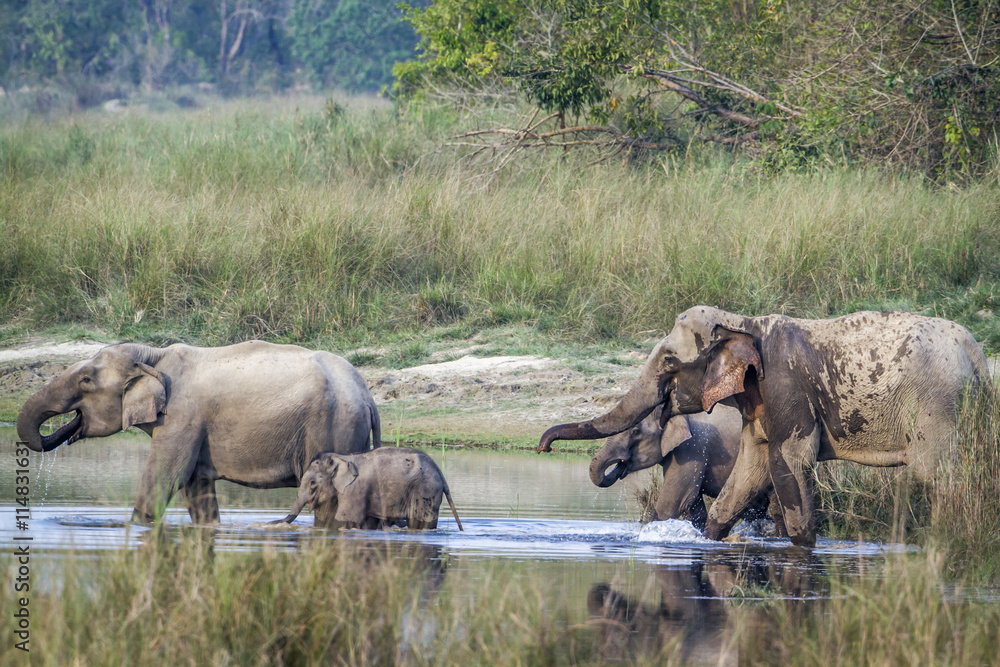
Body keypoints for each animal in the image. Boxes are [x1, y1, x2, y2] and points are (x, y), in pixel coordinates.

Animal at [17, 341, 381, 524]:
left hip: (333, 427)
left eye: (86, 381)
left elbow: (166, 477)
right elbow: (195, 486)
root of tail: (368, 396)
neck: (154, 356)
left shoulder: (182, 417)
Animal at [274, 447, 464, 531]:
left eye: (313, 483)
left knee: (420, 523)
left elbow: (345, 520)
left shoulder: (354, 490)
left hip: (425, 492)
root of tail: (440, 472)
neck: (342, 457)